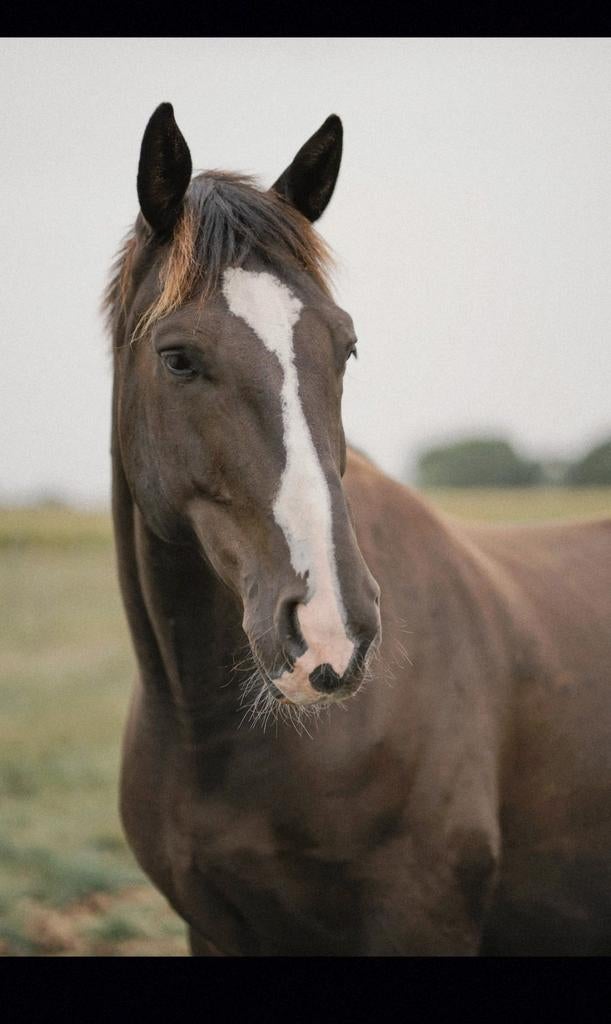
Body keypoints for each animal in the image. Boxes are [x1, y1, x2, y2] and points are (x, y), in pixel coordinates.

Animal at [105, 103, 611, 955]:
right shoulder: (212, 930)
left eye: (344, 347)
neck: (214, 738)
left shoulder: (421, 917)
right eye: (177, 358)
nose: (329, 631)